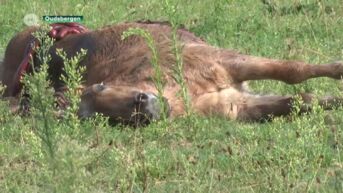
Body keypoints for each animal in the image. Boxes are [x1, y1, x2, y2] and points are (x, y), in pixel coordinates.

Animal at [0, 20, 343, 123]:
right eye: (103, 120)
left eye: (99, 87)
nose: (143, 107)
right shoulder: (237, 104)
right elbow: (297, 100)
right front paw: (333, 103)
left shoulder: (227, 61)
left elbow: (293, 71)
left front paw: (339, 70)